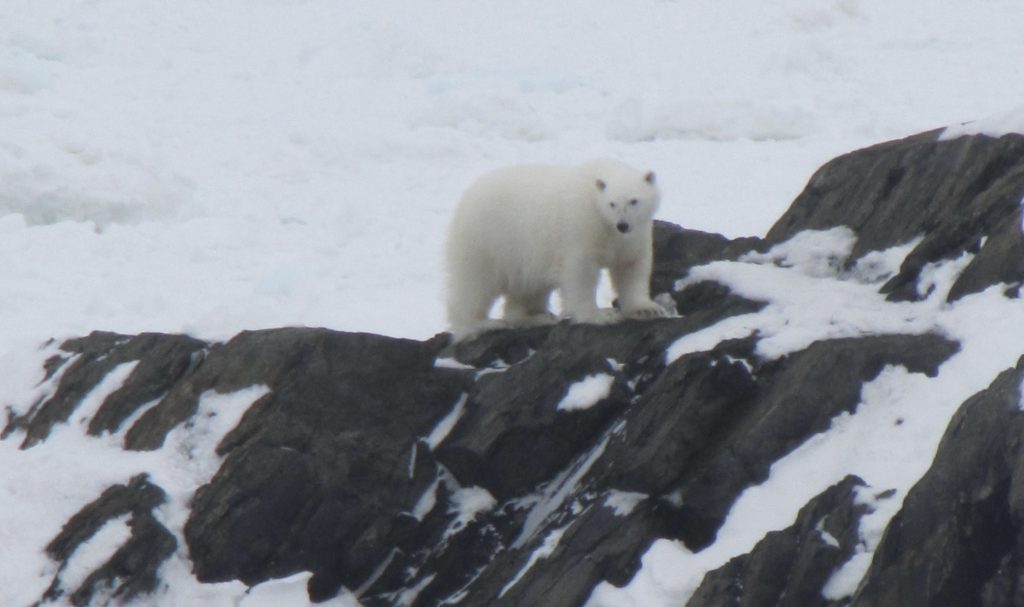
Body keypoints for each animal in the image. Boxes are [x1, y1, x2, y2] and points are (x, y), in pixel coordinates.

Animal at [445, 158, 666, 340]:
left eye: (634, 200)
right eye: (612, 203)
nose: (623, 225)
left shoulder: (635, 236)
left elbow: (631, 267)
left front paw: (647, 309)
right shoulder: (583, 228)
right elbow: (580, 273)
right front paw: (601, 315)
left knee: (528, 289)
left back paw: (537, 317)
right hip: (485, 243)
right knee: (474, 286)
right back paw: (484, 323)